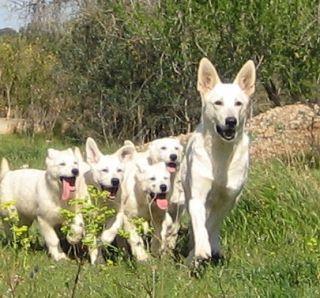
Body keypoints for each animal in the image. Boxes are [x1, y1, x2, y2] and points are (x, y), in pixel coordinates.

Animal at [181, 57, 256, 264]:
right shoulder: (197, 197)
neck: (221, 154)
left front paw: (207, 247)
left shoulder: (229, 200)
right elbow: (200, 224)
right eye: (218, 103)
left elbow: (211, 224)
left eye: (238, 103)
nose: (231, 121)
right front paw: (200, 250)